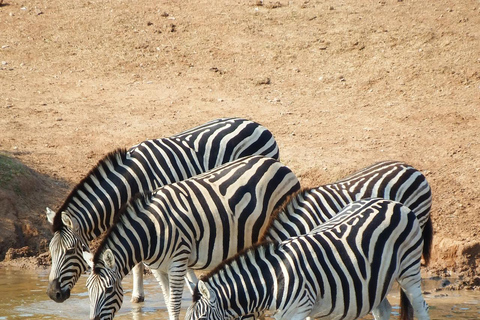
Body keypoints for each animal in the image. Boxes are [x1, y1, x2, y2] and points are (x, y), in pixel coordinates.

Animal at [82, 155, 300, 320]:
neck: (151, 232)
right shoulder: (158, 269)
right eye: (88, 290)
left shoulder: (178, 262)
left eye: (109, 290)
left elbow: (174, 304)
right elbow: (168, 302)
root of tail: (278, 164)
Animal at [185, 198, 432, 320]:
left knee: (421, 307)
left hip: (409, 269)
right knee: (383, 310)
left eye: (202, 319)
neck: (271, 281)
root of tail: (395, 204)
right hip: (376, 279)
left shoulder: (297, 310)